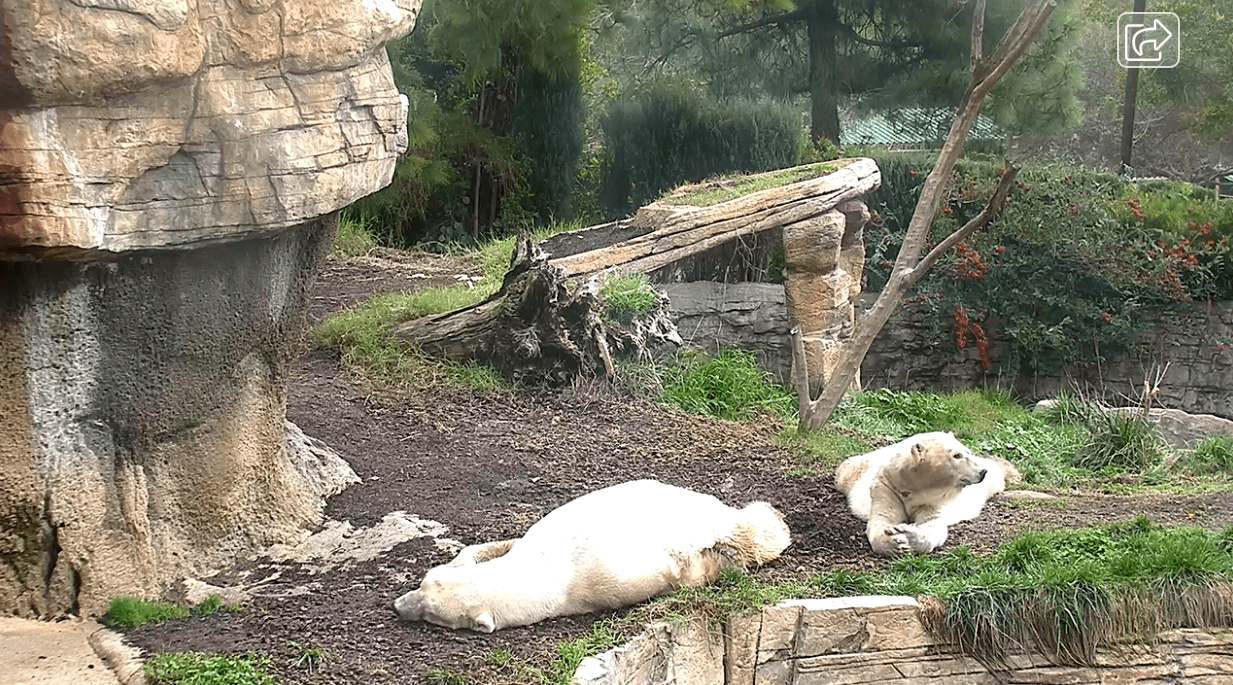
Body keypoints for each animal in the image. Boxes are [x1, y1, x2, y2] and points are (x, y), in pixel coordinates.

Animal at [392, 475, 789, 630]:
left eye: (430, 613)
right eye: (423, 583)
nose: (398, 606)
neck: (548, 566)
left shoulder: (601, 581)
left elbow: (669, 569)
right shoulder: (535, 539)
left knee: (751, 535)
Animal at [838, 433, 1020, 556]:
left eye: (966, 452)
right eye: (957, 455)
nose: (982, 472)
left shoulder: (934, 500)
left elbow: (933, 525)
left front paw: (908, 535)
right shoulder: (887, 487)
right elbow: (883, 518)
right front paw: (895, 542)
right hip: (856, 470)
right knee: (845, 469)